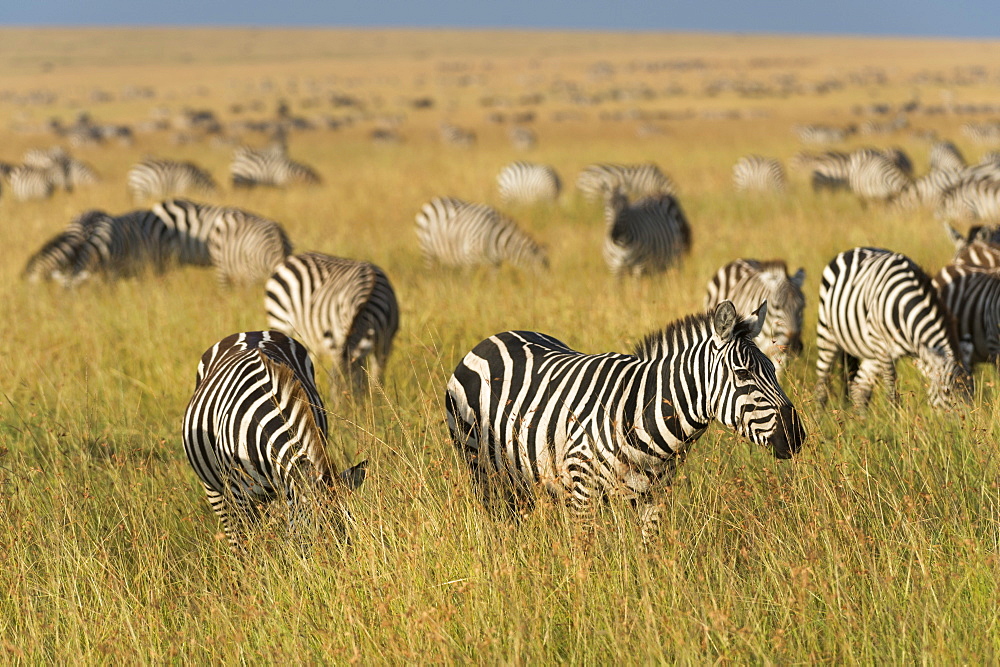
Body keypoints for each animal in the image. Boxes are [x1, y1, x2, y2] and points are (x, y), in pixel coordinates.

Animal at [181, 330, 368, 552]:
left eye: (349, 533)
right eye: (314, 537)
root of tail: (249, 332)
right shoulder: (240, 494)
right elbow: (250, 541)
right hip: (215, 489)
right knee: (234, 533)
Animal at [264, 253, 400, 402]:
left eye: (356, 386)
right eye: (331, 385)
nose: (350, 409)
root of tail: (291, 259)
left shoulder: (385, 344)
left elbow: (377, 374)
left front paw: (377, 399)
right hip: (279, 319)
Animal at [418, 198, 552, 272]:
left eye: (548, 268)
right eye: (541, 268)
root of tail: (432, 201)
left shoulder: (495, 262)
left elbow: (493, 282)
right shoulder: (469, 258)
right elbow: (467, 280)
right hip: (427, 249)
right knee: (430, 270)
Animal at [446, 300, 804, 540]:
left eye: (773, 370)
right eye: (743, 374)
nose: (796, 435)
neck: (640, 414)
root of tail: (494, 337)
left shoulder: (653, 496)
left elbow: (649, 553)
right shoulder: (583, 491)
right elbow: (585, 556)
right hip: (481, 467)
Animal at [812, 247, 968, 412]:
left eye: (971, 390)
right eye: (948, 392)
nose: (969, 417)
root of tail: (853, 249)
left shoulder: (914, 350)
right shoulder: (884, 350)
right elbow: (892, 392)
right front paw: (896, 417)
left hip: (871, 353)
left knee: (859, 388)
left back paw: (860, 419)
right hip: (827, 334)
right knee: (822, 383)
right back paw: (820, 416)